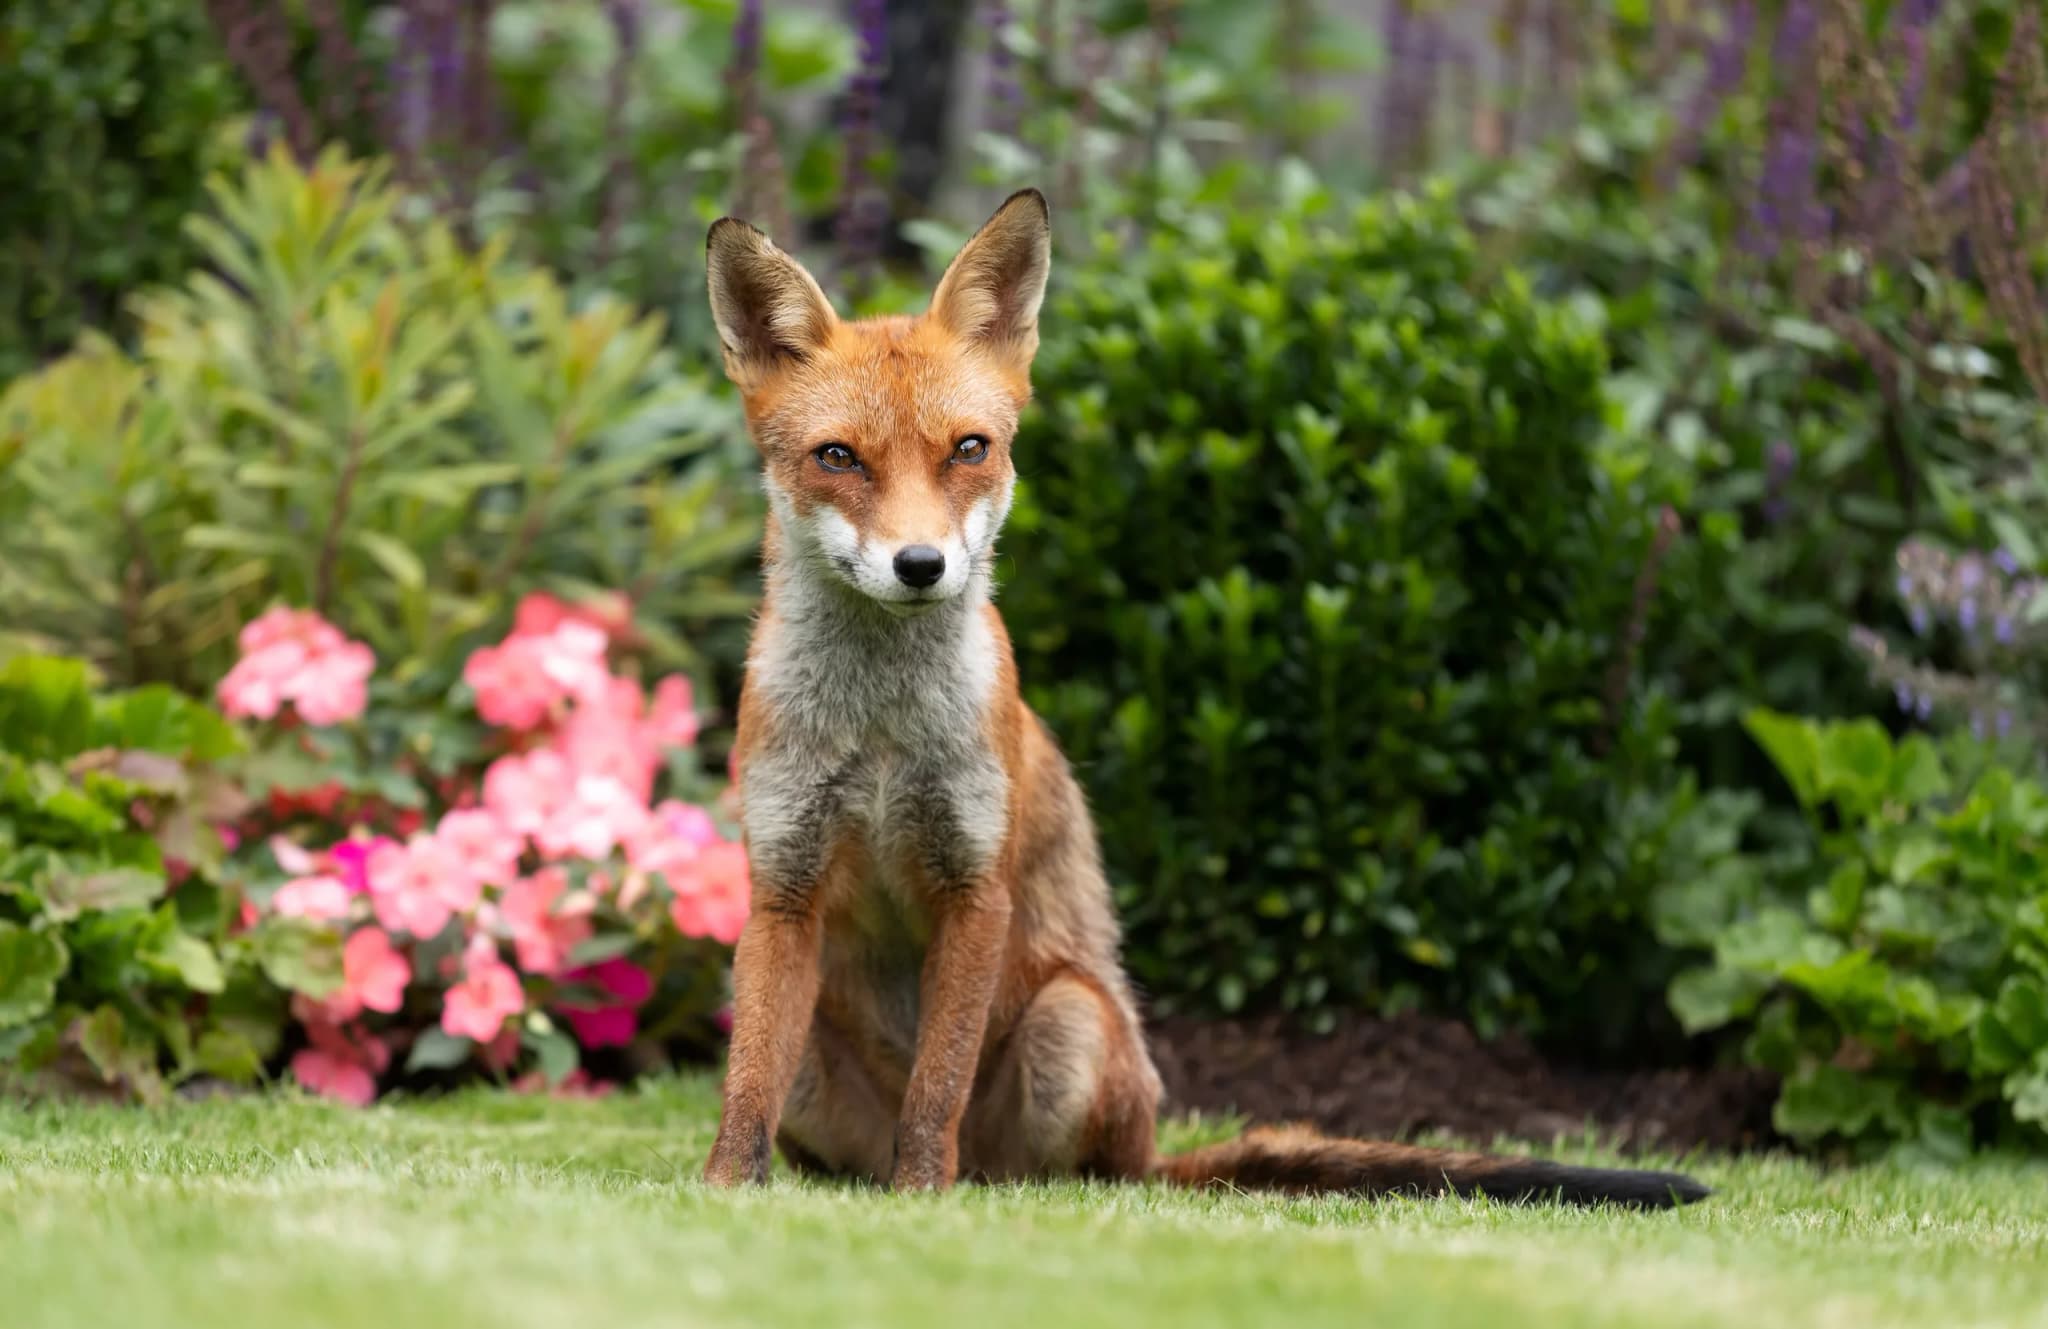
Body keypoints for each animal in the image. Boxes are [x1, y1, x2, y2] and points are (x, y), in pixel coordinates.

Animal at [696, 187, 1711, 1209]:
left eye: (968, 449)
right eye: (838, 458)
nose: (920, 565)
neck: (878, 731)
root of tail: (1151, 1145)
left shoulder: (974, 886)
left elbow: (935, 1088)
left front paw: (920, 1204)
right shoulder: (783, 888)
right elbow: (746, 1089)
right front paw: (722, 1194)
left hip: (1071, 1021)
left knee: (1063, 1172)